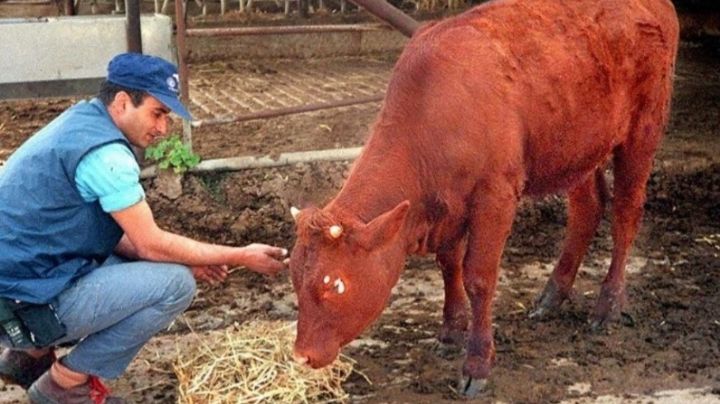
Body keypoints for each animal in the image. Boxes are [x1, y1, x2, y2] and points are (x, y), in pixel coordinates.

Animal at [288, 0, 679, 396]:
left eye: (337, 285)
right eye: (294, 278)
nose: (302, 355)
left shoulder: (496, 196)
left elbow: (478, 278)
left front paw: (477, 363)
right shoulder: (448, 206)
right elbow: (449, 265)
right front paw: (450, 330)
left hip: (643, 130)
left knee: (626, 214)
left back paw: (608, 305)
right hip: (576, 149)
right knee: (588, 208)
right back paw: (553, 295)